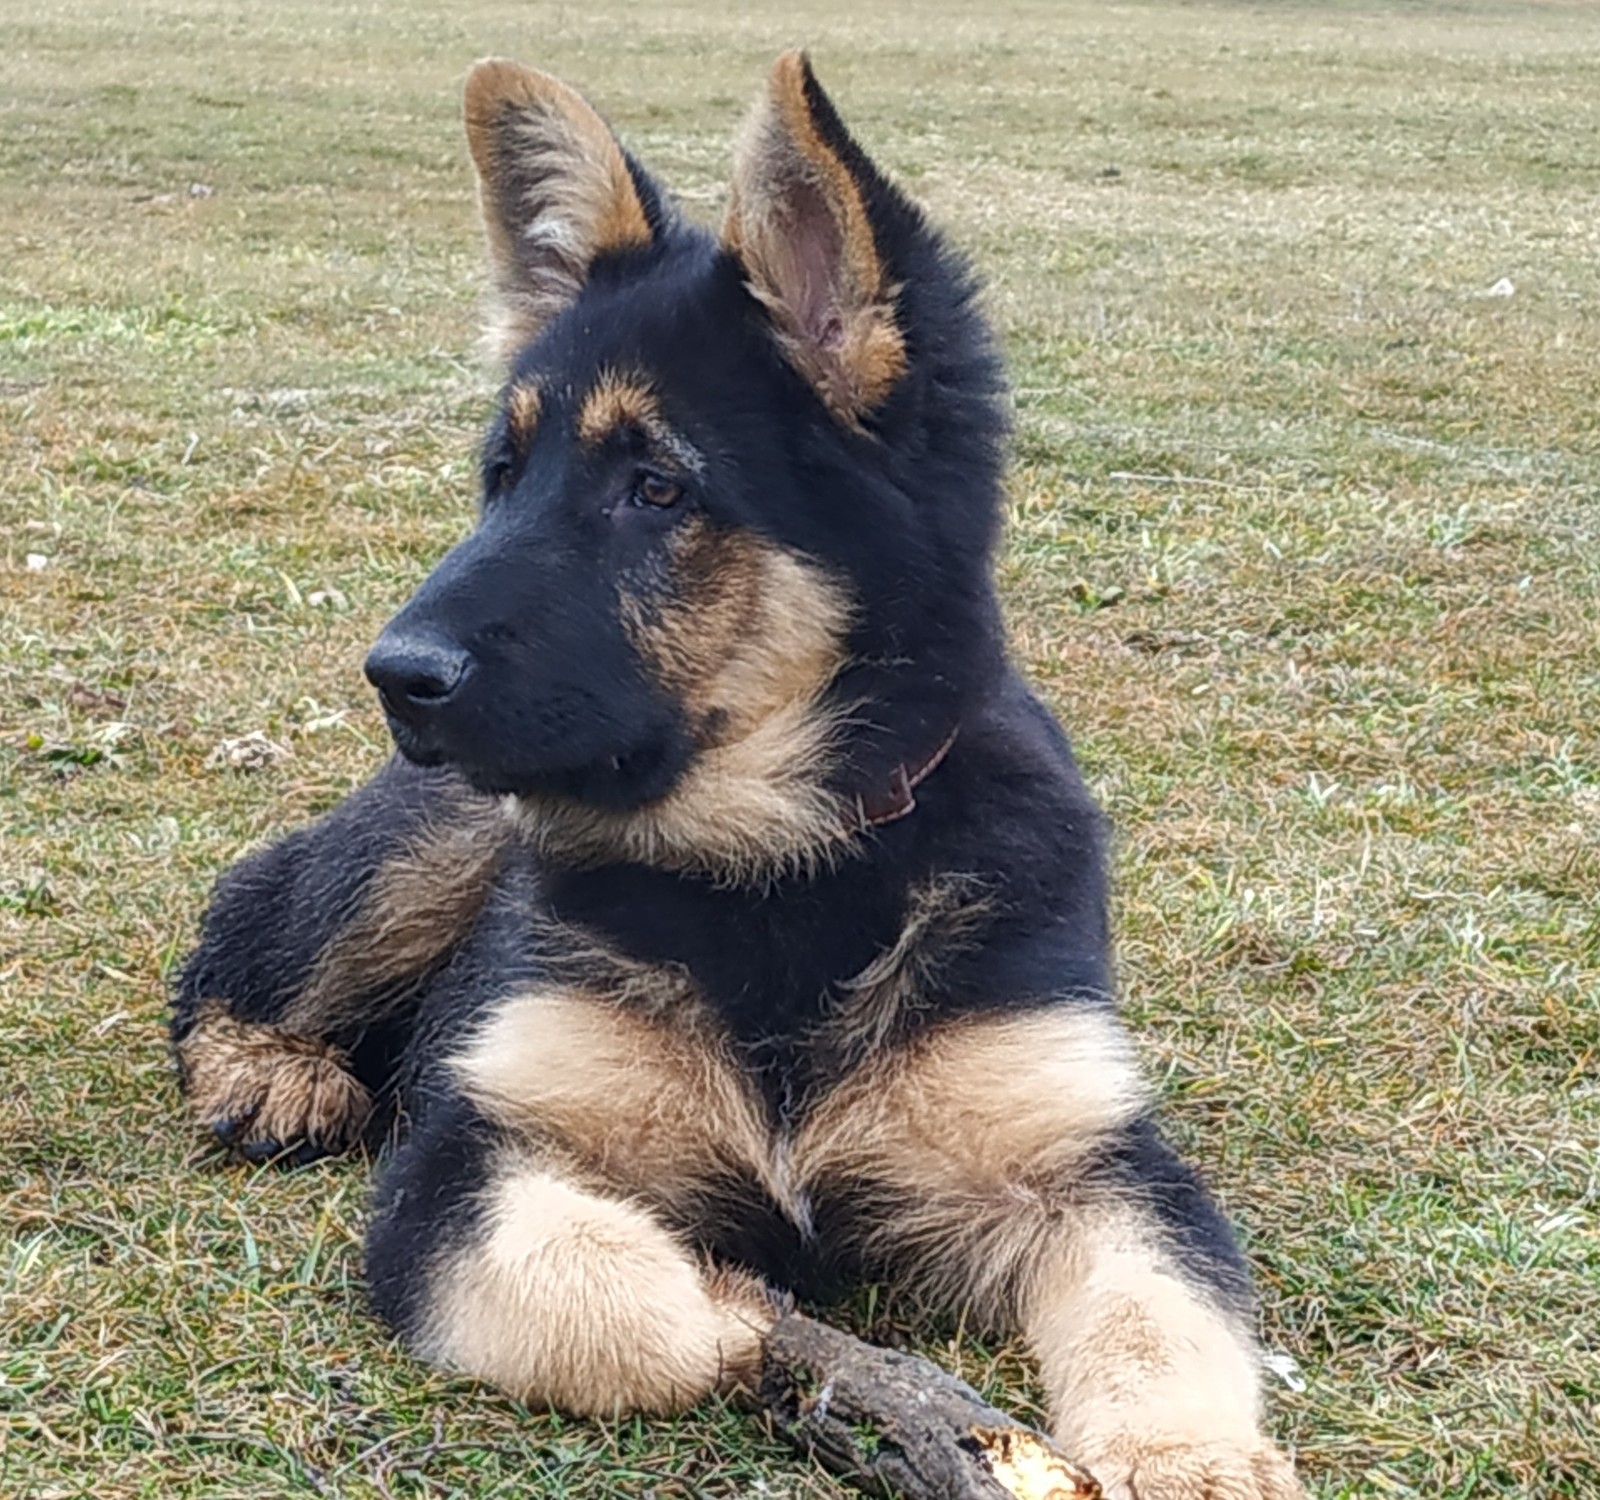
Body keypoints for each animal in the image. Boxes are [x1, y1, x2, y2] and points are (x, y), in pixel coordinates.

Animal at [172, 52, 1299, 1490]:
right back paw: (272, 1071)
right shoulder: (466, 1162)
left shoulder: (1092, 1160)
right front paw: (768, 1331)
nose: (391, 677)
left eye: (656, 487)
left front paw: (1195, 1456)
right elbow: (623, 1292)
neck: (776, 864)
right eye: (502, 476)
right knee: (237, 932)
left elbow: (1165, 1301)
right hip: (434, 843)